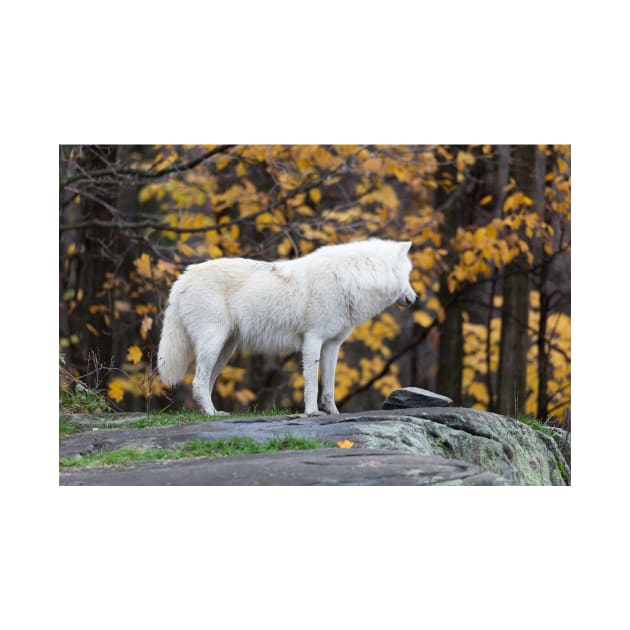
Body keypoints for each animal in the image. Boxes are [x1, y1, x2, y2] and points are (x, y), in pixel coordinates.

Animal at [157, 239, 418, 418]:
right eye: (407, 274)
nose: (415, 298)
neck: (350, 279)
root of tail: (181, 279)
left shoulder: (332, 345)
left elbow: (329, 387)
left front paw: (333, 413)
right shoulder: (312, 340)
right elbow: (312, 383)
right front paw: (312, 413)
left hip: (225, 350)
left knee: (204, 383)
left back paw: (212, 413)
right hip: (214, 344)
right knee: (198, 382)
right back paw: (211, 413)